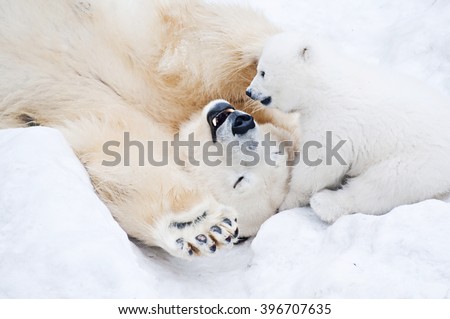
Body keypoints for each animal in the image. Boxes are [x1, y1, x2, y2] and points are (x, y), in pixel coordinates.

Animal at [0, 0, 298, 258]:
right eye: (271, 144)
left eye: (240, 180)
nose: (240, 123)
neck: (173, 120)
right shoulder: (160, 62)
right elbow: (197, 41)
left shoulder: (92, 119)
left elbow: (122, 161)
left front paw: (199, 226)